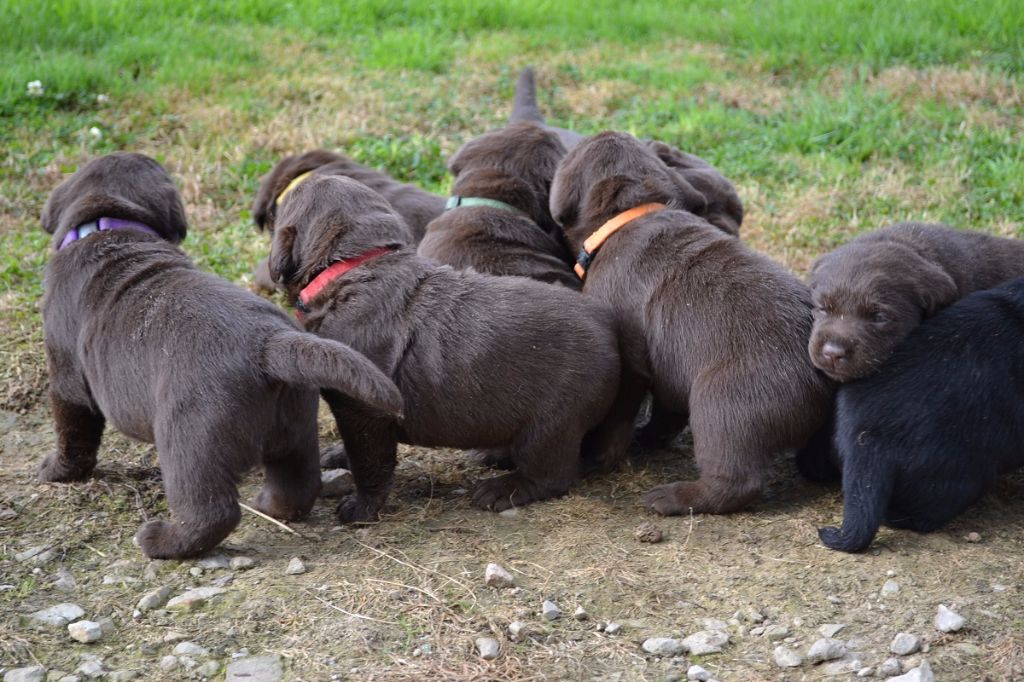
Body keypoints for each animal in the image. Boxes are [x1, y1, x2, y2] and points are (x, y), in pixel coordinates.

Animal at [39, 153, 402, 559]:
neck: (108, 224)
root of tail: (268, 344)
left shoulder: (67, 378)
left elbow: (72, 432)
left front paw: (56, 470)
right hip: (294, 425)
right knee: (297, 483)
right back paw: (270, 506)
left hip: (191, 440)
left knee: (211, 511)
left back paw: (160, 540)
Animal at [269, 174, 647, 522]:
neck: (355, 264)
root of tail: (611, 332)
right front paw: (337, 457)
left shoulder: (363, 406)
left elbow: (371, 462)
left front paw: (360, 508)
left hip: (553, 421)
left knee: (552, 473)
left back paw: (501, 489)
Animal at [550, 131, 833, 514]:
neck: (629, 215)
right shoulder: (666, 367)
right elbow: (666, 411)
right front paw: (648, 438)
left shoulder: (631, 360)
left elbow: (618, 416)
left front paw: (598, 454)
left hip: (722, 405)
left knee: (736, 481)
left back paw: (671, 498)